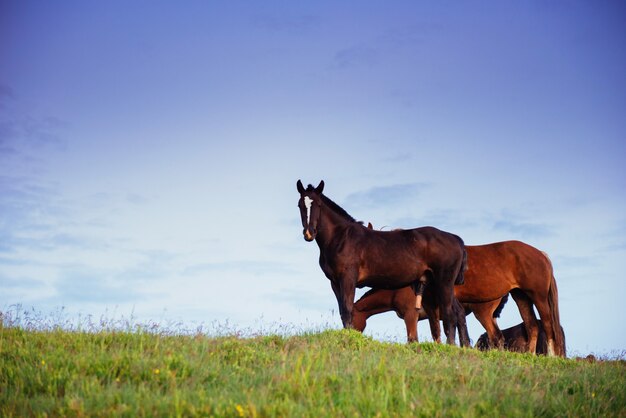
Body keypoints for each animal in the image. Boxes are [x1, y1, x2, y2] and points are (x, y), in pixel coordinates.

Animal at [296, 180, 468, 346]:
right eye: (300, 205)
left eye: (318, 204)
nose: (309, 233)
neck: (342, 238)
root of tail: (456, 239)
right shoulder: (334, 282)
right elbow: (342, 311)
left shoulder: (348, 279)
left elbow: (347, 309)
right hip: (436, 284)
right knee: (457, 312)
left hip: (444, 283)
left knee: (449, 313)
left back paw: (451, 346)